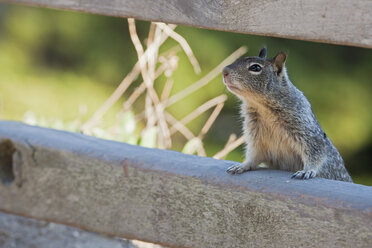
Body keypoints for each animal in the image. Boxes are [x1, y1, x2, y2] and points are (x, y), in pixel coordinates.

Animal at [222, 47, 354, 182]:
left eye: (255, 68)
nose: (224, 71)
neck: (261, 107)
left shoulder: (306, 131)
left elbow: (316, 152)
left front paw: (307, 170)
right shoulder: (256, 137)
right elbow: (254, 156)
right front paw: (243, 165)